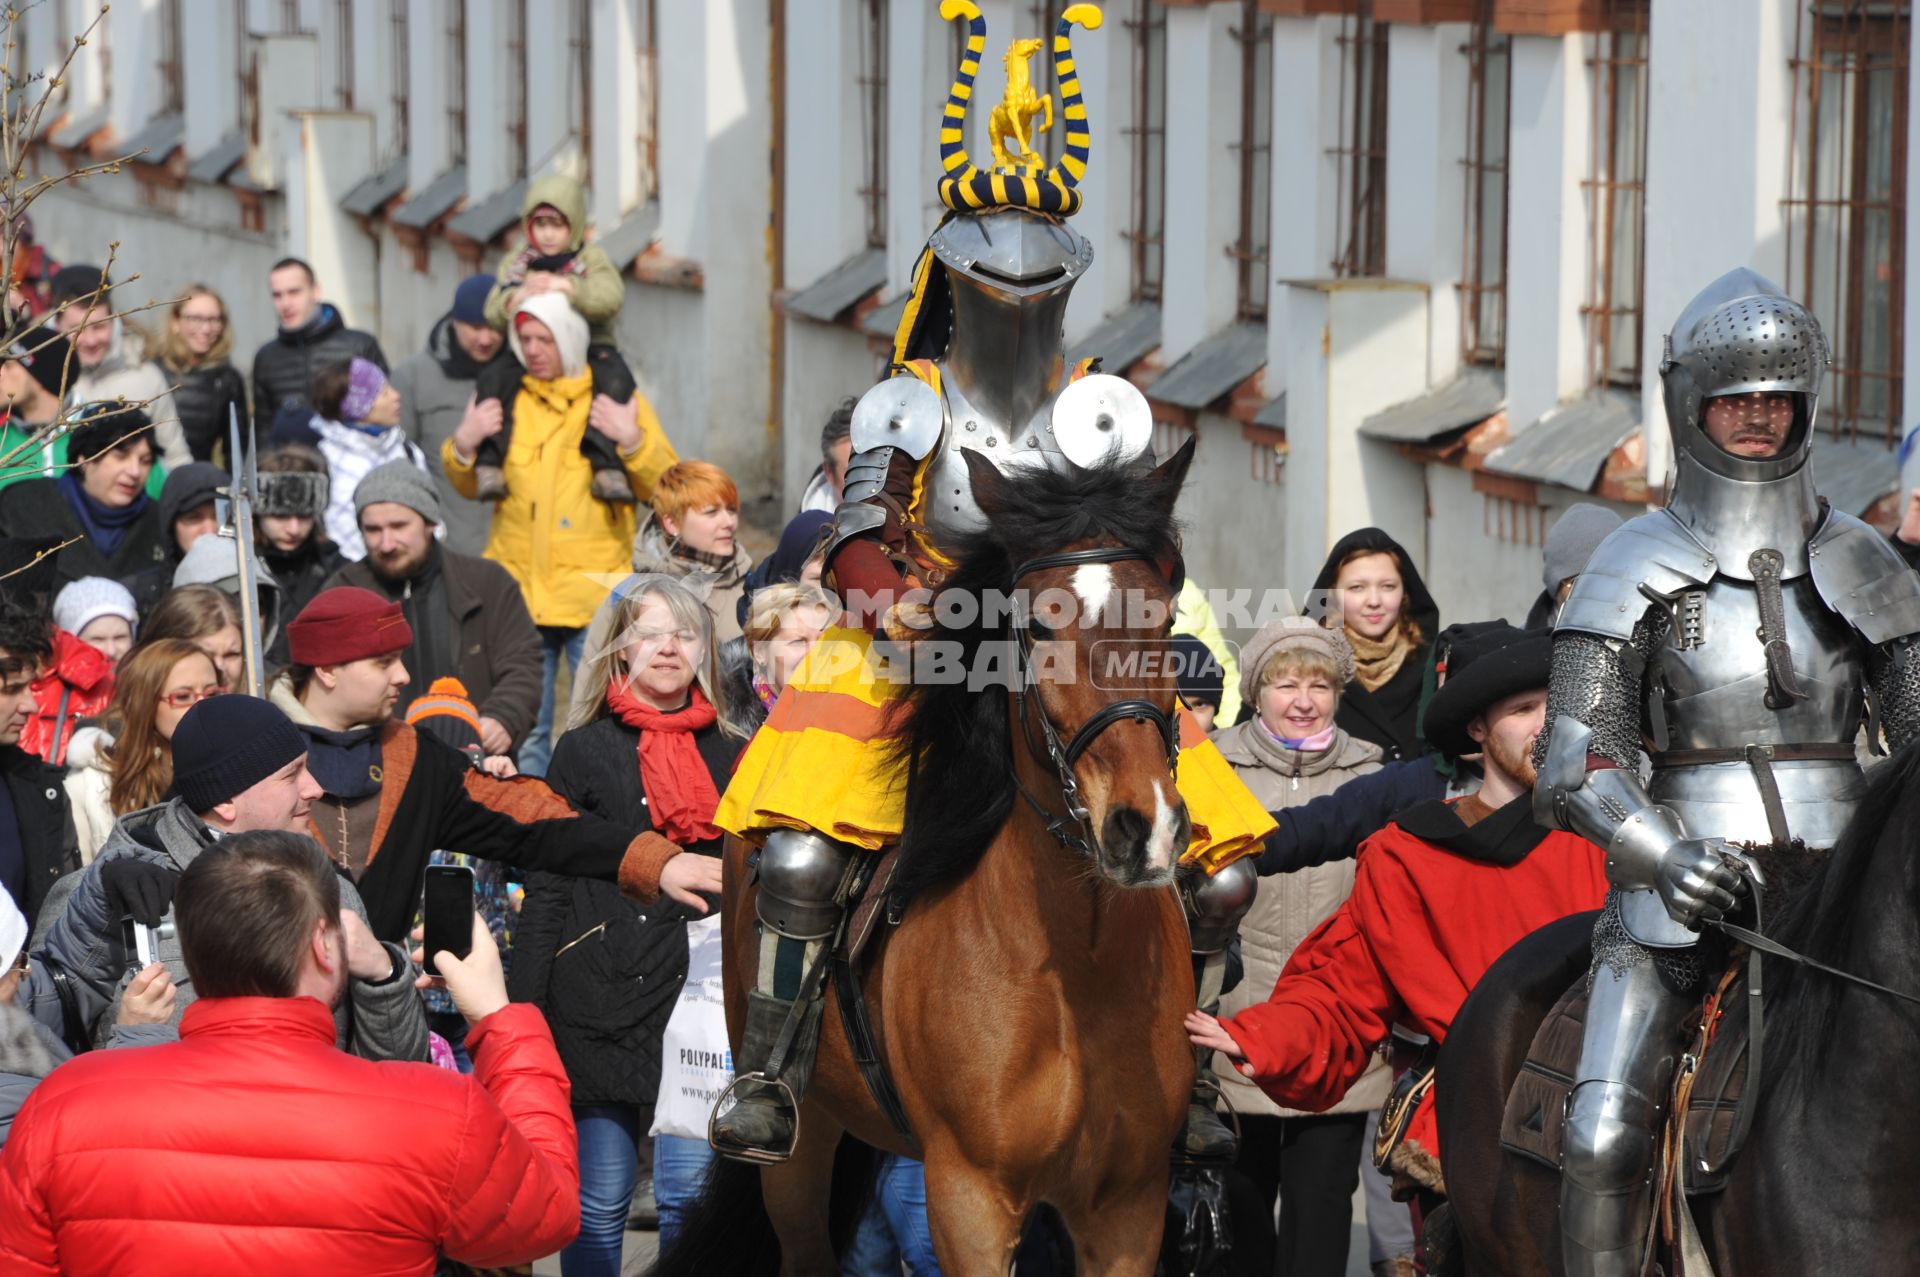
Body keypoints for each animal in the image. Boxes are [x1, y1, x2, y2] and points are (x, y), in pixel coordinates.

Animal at [660, 437, 1198, 1275]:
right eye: (1037, 629)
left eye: (1165, 618)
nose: (1141, 828)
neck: (1078, 964)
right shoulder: (969, 1197)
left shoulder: (1127, 1209)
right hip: (807, 1140)